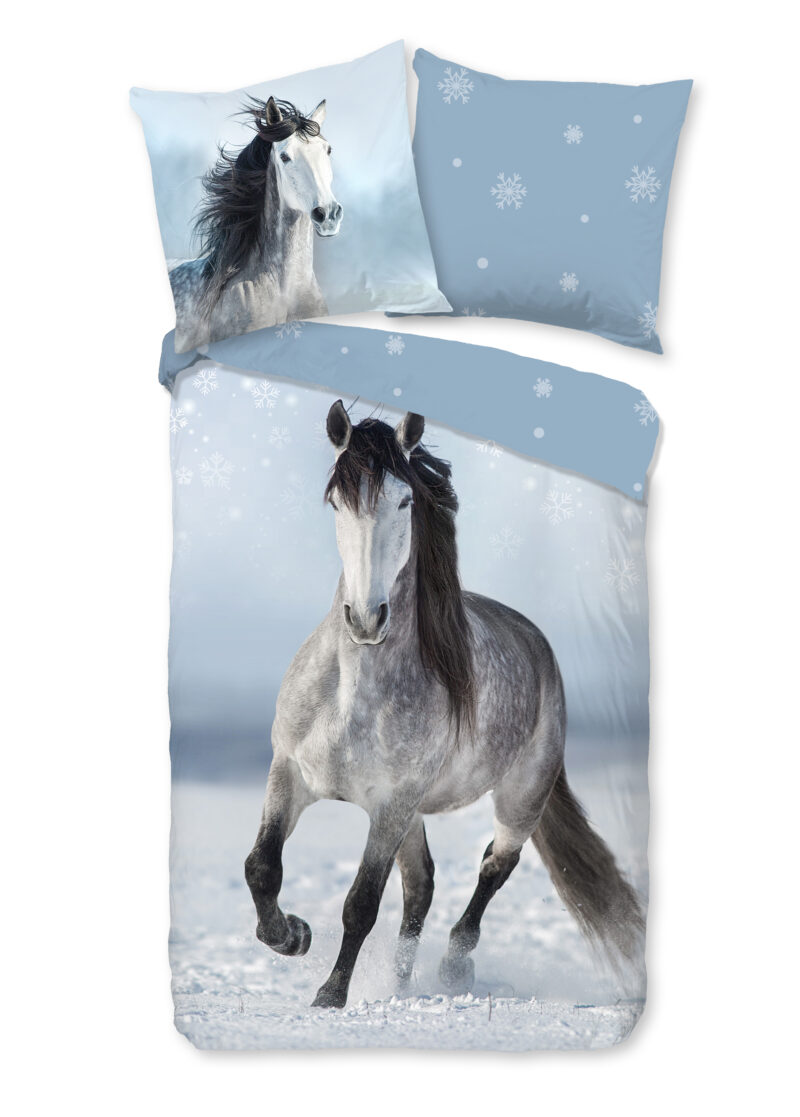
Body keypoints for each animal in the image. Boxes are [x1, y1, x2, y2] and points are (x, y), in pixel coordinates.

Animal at [245, 402, 644, 1009]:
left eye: (404, 501)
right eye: (336, 501)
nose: (367, 618)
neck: (352, 695)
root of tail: (538, 643)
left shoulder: (391, 805)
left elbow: (361, 904)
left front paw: (330, 995)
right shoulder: (289, 774)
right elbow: (262, 868)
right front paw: (293, 936)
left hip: (518, 799)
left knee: (494, 866)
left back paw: (455, 967)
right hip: (414, 814)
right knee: (422, 885)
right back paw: (402, 982)